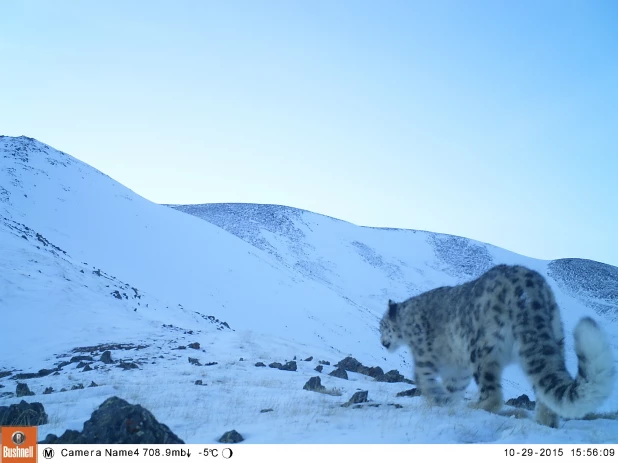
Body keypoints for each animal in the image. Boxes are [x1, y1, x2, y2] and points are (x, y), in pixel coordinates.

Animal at [378, 264, 612, 428]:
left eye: (382, 326)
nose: (381, 342)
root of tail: (531, 290)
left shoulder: (424, 356)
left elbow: (424, 379)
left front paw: (438, 400)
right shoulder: (457, 369)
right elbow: (454, 387)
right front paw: (448, 403)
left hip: (482, 350)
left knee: (493, 394)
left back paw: (476, 407)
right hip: (553, 339)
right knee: (545, 391)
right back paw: (544, 422)